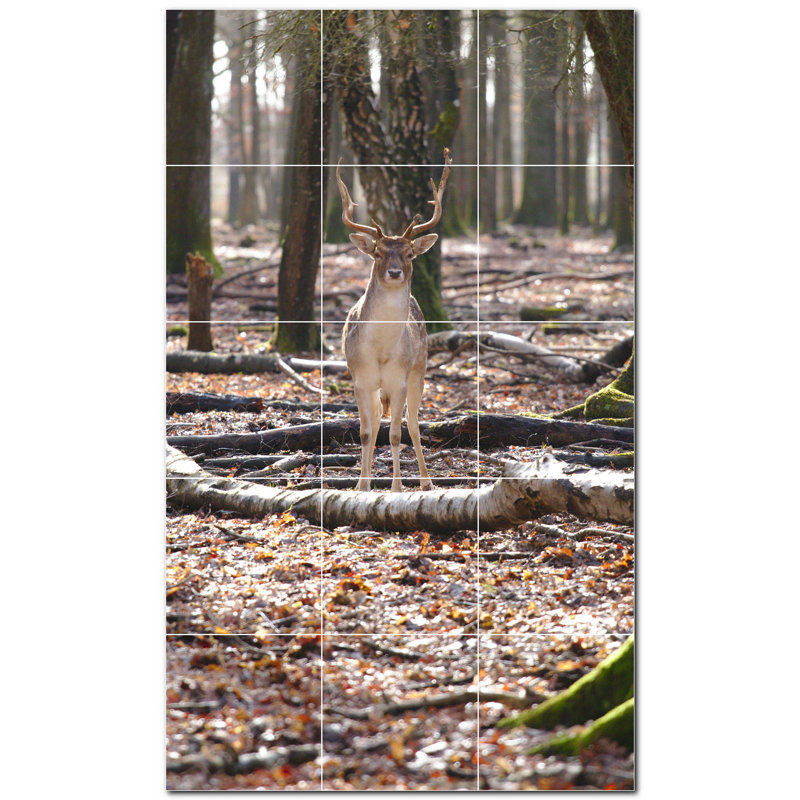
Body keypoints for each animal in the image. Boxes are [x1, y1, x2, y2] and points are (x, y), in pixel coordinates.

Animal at [337, 150, 452, 492]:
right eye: (377, 253)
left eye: (409, 254)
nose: (394, 272)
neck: (381, 350)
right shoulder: (359, 378)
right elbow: (365, 432)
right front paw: (362, 486)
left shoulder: (399, 378)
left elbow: (397, 434)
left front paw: (397, 487)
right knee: (376, 421)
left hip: (420, 369)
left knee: (413, 424)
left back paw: (426, 481)